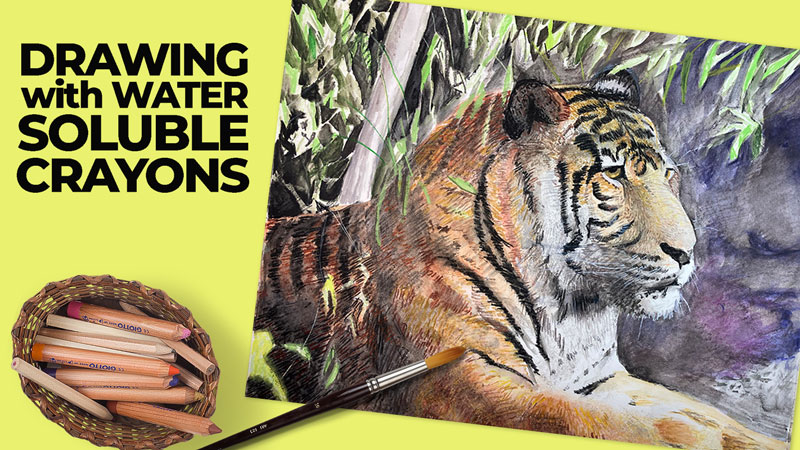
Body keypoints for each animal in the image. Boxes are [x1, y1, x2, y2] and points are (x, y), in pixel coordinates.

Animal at [249, 70, 786, 449]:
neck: (570, 307)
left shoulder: (598, 376)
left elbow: (703, 412)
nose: (687, 252)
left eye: (667, 174)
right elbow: (606, 423)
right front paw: (694, 437)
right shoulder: (460, 380)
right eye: (612, 175)